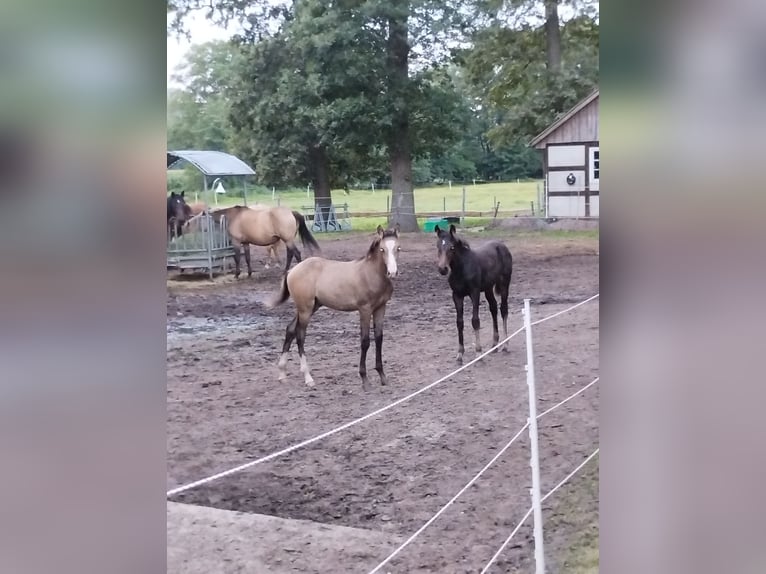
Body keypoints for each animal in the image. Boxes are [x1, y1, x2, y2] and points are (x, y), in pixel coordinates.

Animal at [268, 225, 402, 392]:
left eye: (398, 248)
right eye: (382, 249)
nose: (392, 273)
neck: (370, 273)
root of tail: (292, 270)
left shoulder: (380, 308)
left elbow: (379, 338)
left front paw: (383, 377)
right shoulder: (364, 309)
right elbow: (365, 341)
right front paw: (364, 380)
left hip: (311, 306)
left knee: (290, 329)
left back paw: (282, 374)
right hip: (305, 308)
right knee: (300, 335)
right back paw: (308, 377)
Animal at [436, 225, 512, 364]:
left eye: (452, 247)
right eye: (438, 246)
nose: (443, 269)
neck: (461, 270)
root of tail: (502, 245)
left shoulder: (474, 293)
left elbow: (475, 320)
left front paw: (478, 352)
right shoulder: (457, 295)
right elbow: (459, 322)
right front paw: (460, 354)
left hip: (505, 284)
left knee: (503, 309)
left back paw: (505, 345)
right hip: (488, 288)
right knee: (493, 308)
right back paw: (494, 345)